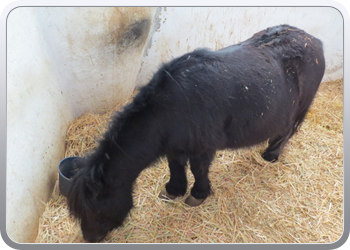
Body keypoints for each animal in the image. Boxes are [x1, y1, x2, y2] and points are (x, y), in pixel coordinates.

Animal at [66, 24, 326, 241]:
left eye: (94, 208)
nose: (90, 238)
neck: (171, 108)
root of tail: (313, 40)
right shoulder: (174, 145)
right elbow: (175, 166)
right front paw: (174, 190)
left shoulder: (202, 148)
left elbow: (197, 169)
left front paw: (197, 195)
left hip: (301, 106)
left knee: (287, 132)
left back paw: (271, 155)